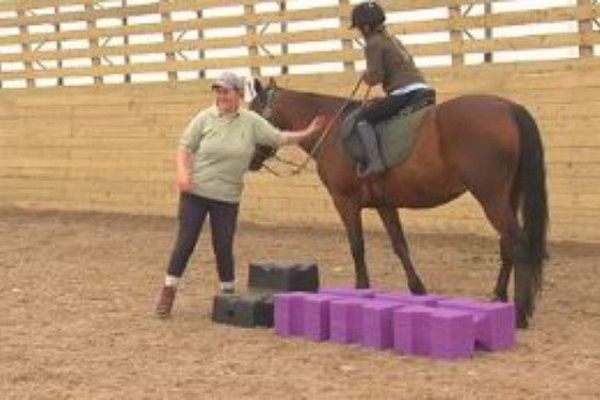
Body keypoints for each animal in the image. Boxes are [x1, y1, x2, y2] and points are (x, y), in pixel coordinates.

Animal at [248, 77, 548, 328]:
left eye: (252, 112)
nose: (250, 160)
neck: (331, 129)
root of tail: (509, 108)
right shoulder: (385, 204)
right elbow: (400, 245)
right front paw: (417, 290)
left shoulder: (344, 201)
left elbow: (357, 246)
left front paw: (361, 289)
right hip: (507, 197)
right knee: (507, 246)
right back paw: (499, 298)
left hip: (491, 198)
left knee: (518, 245)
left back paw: (520, 313)